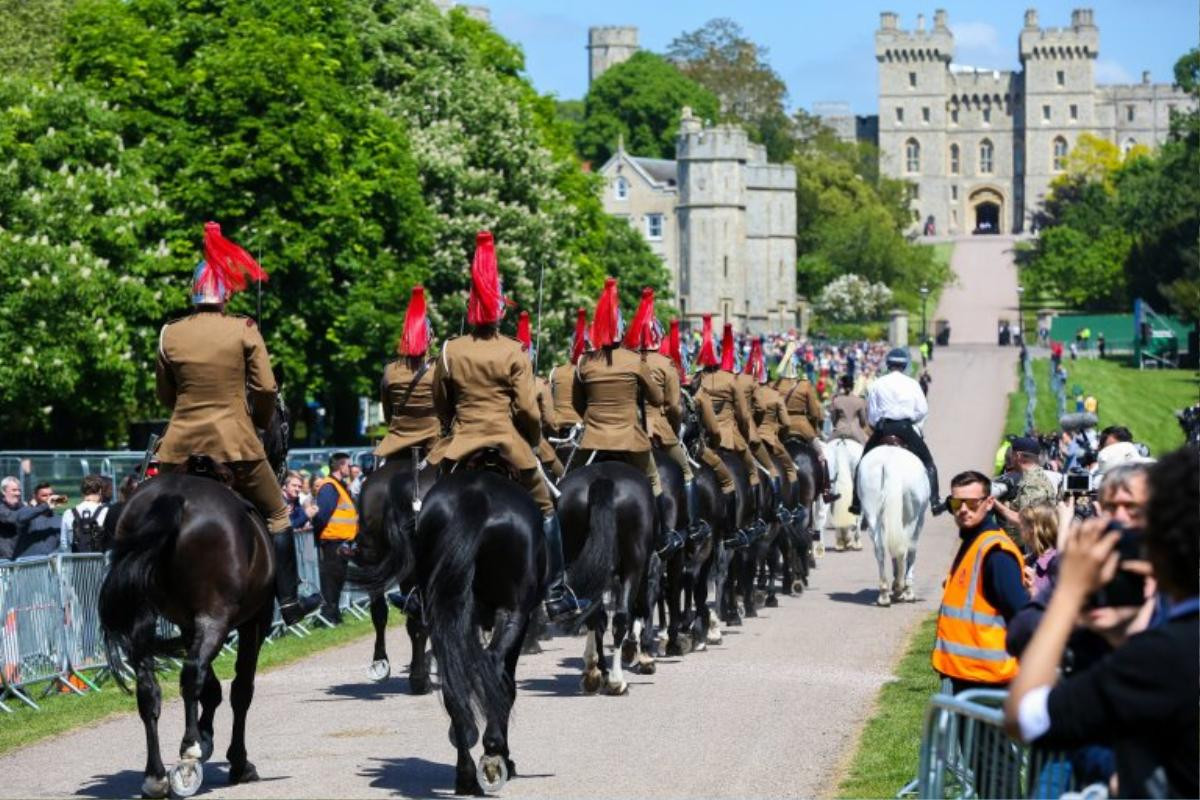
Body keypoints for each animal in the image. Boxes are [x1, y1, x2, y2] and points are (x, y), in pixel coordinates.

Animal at [96, 402, 288, 796]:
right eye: (285, 421)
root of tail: (175, 499)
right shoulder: (254, 621)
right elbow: (240, 689)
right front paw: (236, 760)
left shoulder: (186, 622)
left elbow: (212, 689)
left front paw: (207, 735)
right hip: (217, 617)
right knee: (192, 673)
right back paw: (187, 756)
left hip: (144, 618)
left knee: (149, 688)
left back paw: (156, 774)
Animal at [415, 470, 542, 796]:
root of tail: (474, 498)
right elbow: (505, 685)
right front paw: (503, 756)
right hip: (512, 613)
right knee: (495, 669)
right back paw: (493, 754)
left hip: (443, 617)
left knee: (452, 685)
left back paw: (466, 776)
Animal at [559, 462, 657, 695]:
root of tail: (603, 480)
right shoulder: (647, 566)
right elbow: (644, 604)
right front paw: (644, 655)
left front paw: (592, 666)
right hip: (634, 565)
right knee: (620, 616)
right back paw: (616, 680)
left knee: (594, 615)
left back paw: (597, 674)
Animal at [859, 443, 931, 606]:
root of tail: (889, 463)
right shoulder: (919, 521)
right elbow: (911, 552)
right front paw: (908, 590)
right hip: (912, 518)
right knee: (904, 550)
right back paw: (900, 588)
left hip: (871, 511)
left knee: (880, 549)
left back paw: (884, 594)